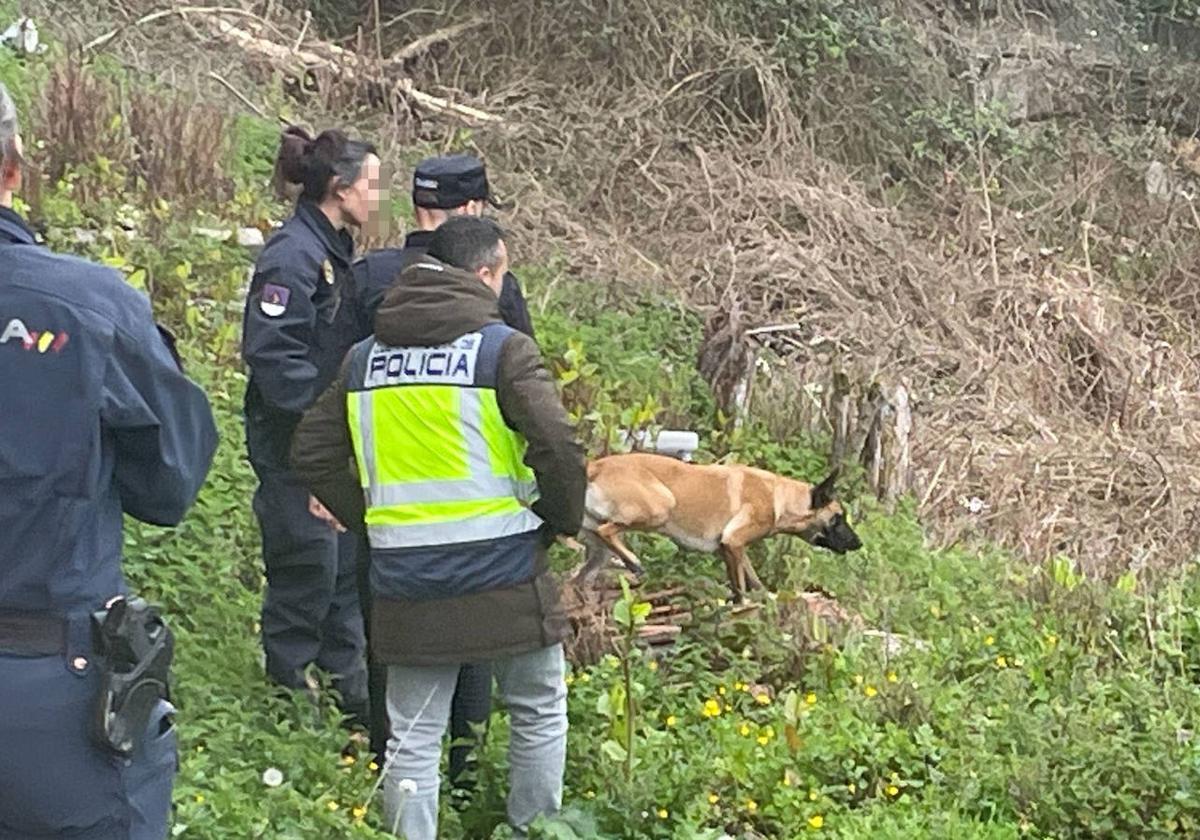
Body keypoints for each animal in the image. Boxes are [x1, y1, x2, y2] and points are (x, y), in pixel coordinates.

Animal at [573, 456, 864, 600]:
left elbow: (753, 582)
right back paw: (634, 562)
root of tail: (596, 466)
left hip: (597, 551)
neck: (779, 497)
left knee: (582, 571)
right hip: (661, 506)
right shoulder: (733, 543)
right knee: (608, 531)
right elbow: (741, 590)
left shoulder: (733, 550)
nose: (859, 543)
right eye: (838, 517)